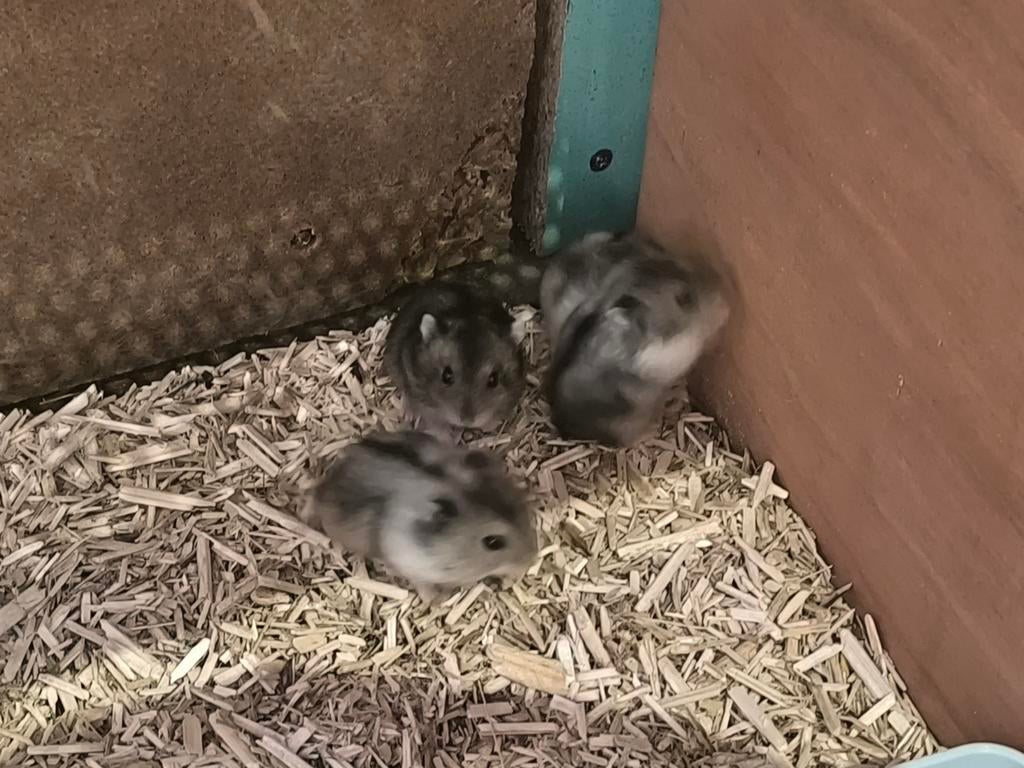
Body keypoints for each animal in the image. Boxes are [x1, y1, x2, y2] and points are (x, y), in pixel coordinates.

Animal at [301, 430, 536, 602]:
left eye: (521, 506)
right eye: (493, 542)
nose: (530, 560)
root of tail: (329, 478)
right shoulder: (412, 564)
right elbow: (424, 587)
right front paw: (439, 600)